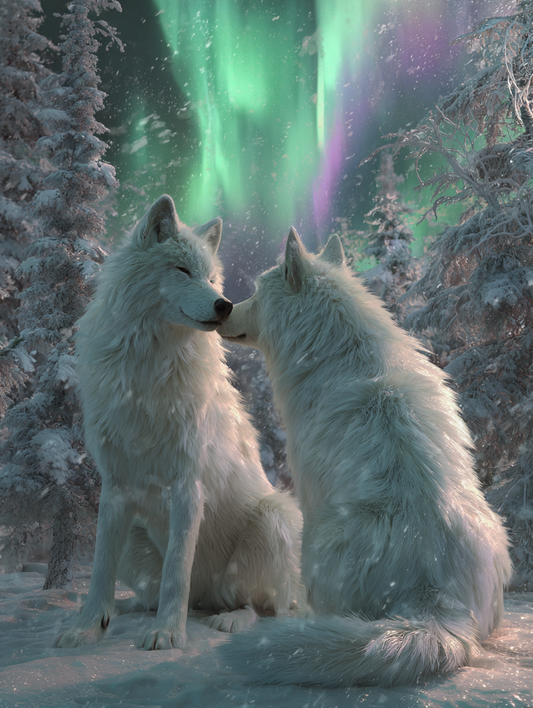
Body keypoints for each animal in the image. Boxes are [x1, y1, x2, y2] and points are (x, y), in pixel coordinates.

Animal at [54, 195, 302, 651]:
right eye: (183, 271)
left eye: (211, 278)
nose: (224, 305)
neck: (149, 368)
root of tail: (207, 599)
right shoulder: (116, 486)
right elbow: (100, 569)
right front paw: (87, 626)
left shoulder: (188, 484)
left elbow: (176, 568)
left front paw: (168, 633)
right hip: (136, 535)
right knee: (152, 593)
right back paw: (131, 610)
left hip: (273, 519)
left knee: (263, 609)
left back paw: (229, 620)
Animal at [217, 228, 511, 686]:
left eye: (256, 294)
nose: (225, 308)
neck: (343, 348)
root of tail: (433, 597)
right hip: (495, 529)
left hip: (317, 541)